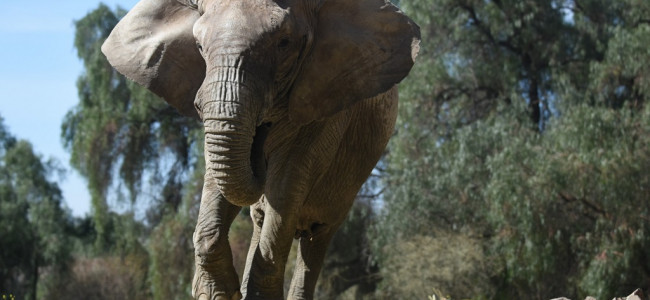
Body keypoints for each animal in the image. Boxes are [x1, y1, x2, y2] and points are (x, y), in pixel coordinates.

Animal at [98, 0, 418, 298]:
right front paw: (219, 293)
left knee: (316, 238)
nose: (260, 144)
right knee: (262, 220)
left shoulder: (326, 102)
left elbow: (286, 183)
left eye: (284, 43)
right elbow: (218, 177)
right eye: (198, 45)